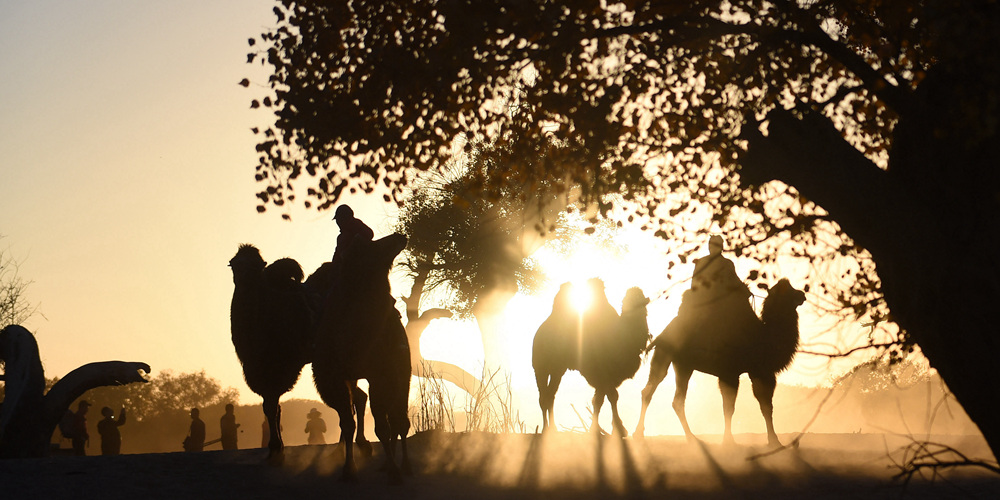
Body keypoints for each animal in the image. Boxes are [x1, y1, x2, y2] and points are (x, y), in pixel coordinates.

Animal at [308, 232, 410, 482]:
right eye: (370, 245)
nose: (399, 235)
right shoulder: (332, 378)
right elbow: (347, 423)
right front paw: (348, 469)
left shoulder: (381, 374)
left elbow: (383, 426)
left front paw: (394, 472)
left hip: (403, 372)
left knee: (400, 420)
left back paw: (404, 466)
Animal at [536, 280, 652, 436]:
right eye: (625, 302)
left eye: (640, 299)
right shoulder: (602, 373)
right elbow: (611, 396)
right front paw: (619, 429)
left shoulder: (603, 378)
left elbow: (598, 400)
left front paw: (597, 429)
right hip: (541, 367)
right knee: (543, 395)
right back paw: (545, 429)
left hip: (557, 370)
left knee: (550, 394)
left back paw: (552, 428)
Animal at [636, 280, 808, 448]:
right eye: (788, 290)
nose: (802, 294)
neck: (763, 336)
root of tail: (663, 333)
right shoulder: (735, 373)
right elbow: (732, 407)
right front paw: (730, 440)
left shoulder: (757, 372)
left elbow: (764, 406)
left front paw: (774, 441)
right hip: (666, 354)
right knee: (654, 390)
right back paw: (643, 435)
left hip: (682, 365)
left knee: (671, 398)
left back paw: (690, 439)